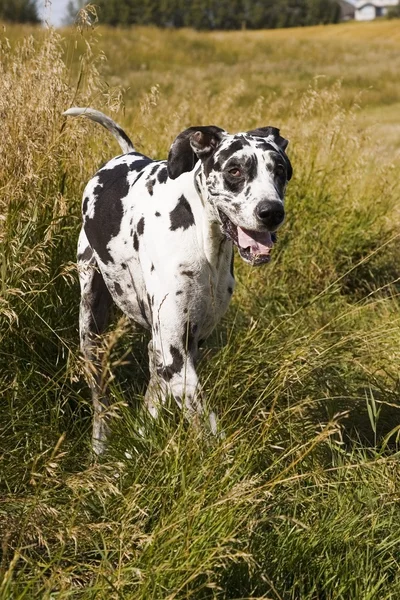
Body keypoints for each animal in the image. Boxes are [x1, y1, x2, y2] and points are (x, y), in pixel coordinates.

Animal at [64, 109, 292, 454]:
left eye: (279, 170)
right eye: (235, 169)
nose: (272, 212)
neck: (204, 241)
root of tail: (127, 154)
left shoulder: (187, 345)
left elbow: (156, 401)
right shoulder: (175, 353)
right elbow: (208, 426)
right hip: (91, 327)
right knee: (100, 397)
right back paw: (100, 446)